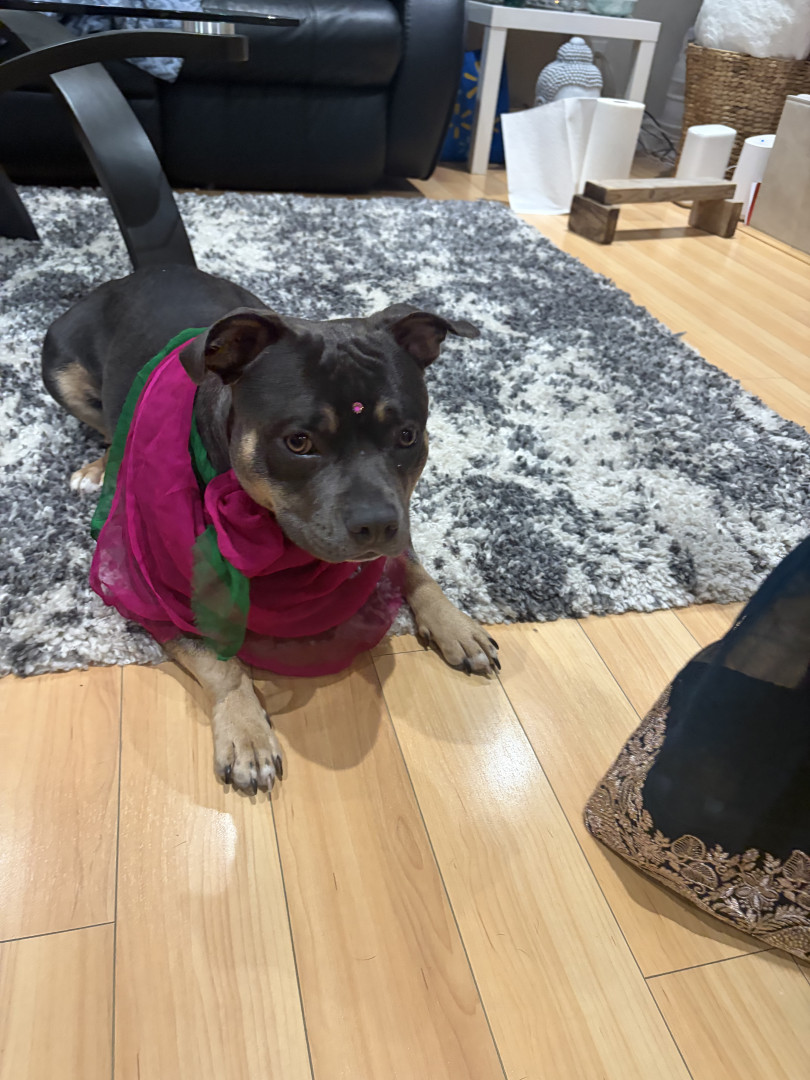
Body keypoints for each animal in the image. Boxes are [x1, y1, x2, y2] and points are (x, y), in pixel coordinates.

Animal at [42, 264, 499, 793]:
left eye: (408, 435)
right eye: (298, 442)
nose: (377, 524)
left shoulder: (396, 516)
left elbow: (412, 562)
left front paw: (454, 622)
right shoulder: (154, 592)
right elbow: (218, 660)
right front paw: (245, 732)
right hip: (59, 370)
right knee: (103, 426)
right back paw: (99, 467)